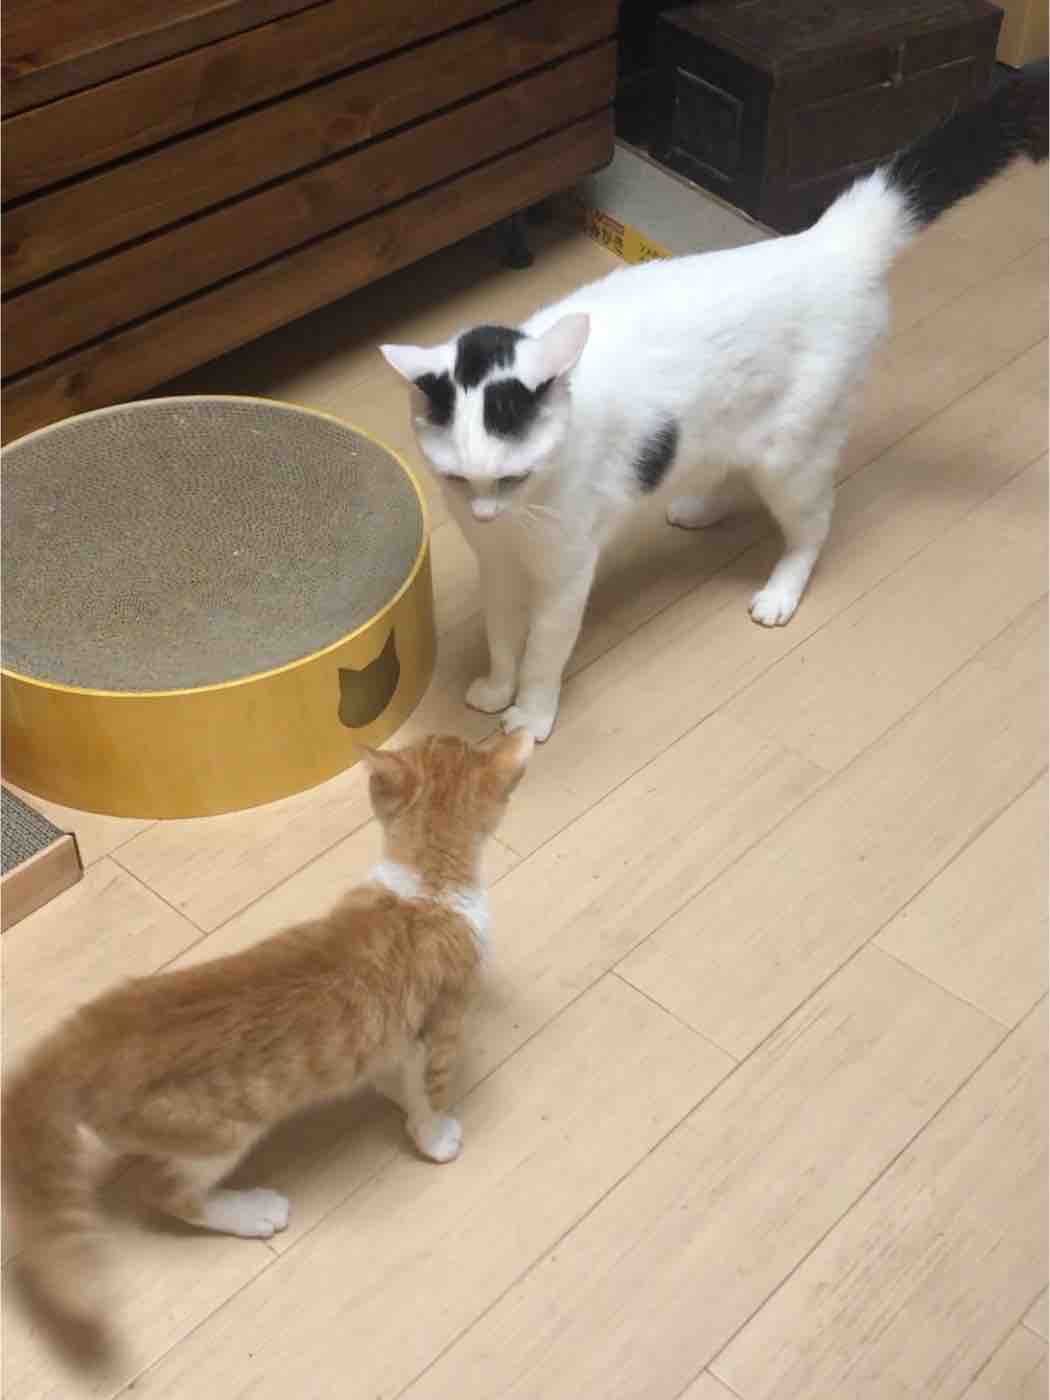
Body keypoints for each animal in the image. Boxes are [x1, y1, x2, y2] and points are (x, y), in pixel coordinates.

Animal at [2, 729, 533, 1345]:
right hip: (221, 1132)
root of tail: (88, 1034)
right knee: (168, 1193)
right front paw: (434, 1136)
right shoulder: (442, 1024)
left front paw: (390, 1092)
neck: (427, 886)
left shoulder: (396, 1033)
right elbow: (430, 1090)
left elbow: (394, 1069)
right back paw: (250, 1212)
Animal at [381, 64, 1048, 742]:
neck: (518, 526)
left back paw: (780, 591)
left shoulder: (563, 573)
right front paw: (495, 688)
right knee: (729, 469)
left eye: (514, 476)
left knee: (815, 525)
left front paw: (530, 715)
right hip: (730, 432)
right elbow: (499, 635)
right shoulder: (497, 567)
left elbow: (543, 651)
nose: (485, 515)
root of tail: (825, 243)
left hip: (790, 456)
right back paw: (699, 508)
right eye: (456, 479)